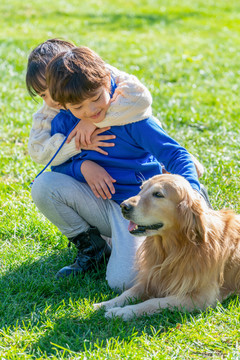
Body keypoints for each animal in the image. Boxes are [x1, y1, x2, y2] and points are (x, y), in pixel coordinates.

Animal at [94, 173, 240, 320]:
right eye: (141, 188)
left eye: (158, 194)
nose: (123, 206)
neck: (177, 248)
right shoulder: (152, 277)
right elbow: (129, 292)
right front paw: (105, 304)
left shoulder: (201, 298)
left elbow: (153, 302)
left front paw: (123, 312)